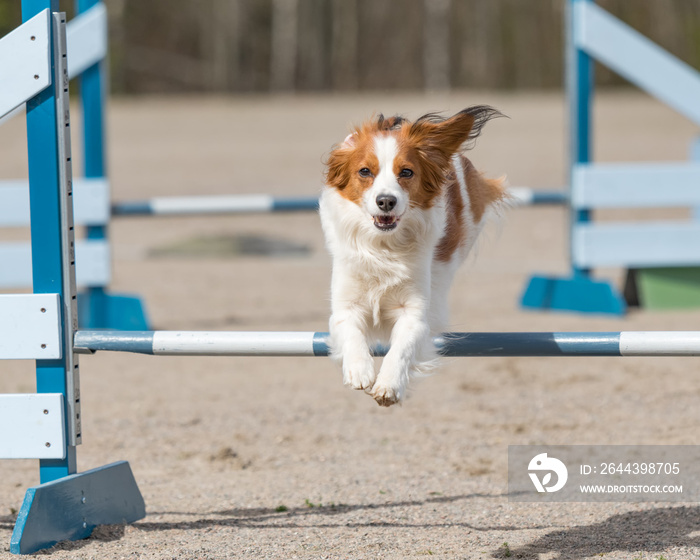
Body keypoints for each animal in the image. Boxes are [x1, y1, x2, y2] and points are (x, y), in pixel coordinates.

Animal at [320, 107, 506, 406]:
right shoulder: (345, 304)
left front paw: (389, 383)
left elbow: (402, 347)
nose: (386, 201)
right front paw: (359, 369)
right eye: (364, 171)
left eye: (406, 172)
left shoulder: (414, 312)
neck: (383, 246)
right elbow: (350, 331)